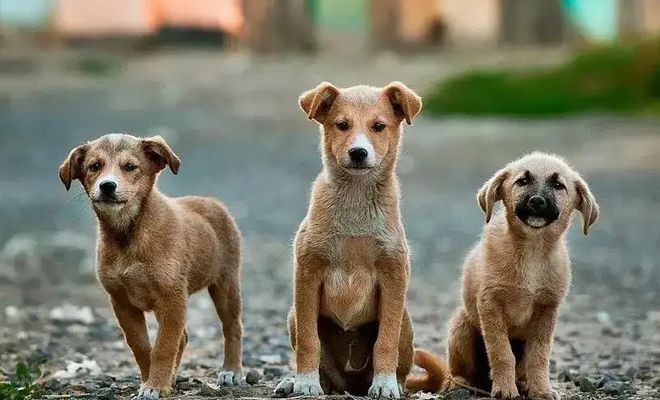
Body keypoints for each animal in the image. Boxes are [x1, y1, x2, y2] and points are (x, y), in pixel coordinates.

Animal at [59, 135, 244, 400]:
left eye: (130, 167)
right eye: (94, 166)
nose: (107, 186)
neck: (128, 235)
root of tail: (212, 201)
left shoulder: (172, 298)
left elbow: (164, 346)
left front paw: (155, 385)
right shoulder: (122, 302)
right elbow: (142, 346)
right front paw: (152, 381)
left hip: (226, 284)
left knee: (232, 327)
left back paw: (231, 371)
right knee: (183, 337)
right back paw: (174, 377)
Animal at [274, 81, 422, 396]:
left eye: (379, 126)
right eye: (342, 125)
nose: (358, 153)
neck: (355, 199)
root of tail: (350, 384)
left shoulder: (393, 275)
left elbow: (385, 342)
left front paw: (385, 384)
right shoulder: (307, 272)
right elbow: (309, 341)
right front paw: (305, 383)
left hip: (405, 320)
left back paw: (393, 383)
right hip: (293, 316)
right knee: (324, 369)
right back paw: (298, 382)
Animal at [408, 152, 600, 400]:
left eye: (559, 185)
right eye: (522, 181)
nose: (537, 201)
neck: (532, 251)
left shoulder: (547, 310)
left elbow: (539, 356)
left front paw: (541, 390)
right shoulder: (490, 305)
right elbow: (501, 352)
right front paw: (506, 389)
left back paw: (523, 384)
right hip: (462, 326)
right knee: (458, 371)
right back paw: (459, 384)